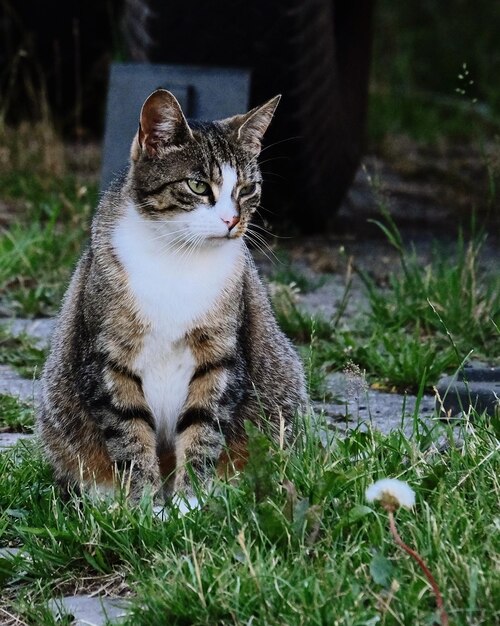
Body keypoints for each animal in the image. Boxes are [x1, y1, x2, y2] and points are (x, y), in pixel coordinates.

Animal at [39, 90, 306, 510]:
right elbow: (129, 432)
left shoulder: (219, 353)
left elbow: (204, 426)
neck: (178, 257)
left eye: (247, 189)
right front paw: (145, 507)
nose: (233, 221)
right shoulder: (108, 357)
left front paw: (188, 505)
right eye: (198, 185)